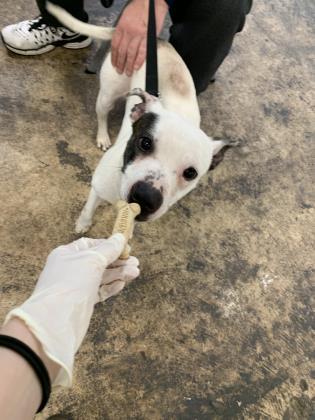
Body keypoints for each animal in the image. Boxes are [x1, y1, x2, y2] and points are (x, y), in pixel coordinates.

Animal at [48, 2, 238, 233]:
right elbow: (89, 208)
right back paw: (103, 137)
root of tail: (152, 39)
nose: (146, 197)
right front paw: (83, 224)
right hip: (107, 95)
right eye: (145, 143)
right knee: (102, 116)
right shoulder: (97, 187)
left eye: (191, 173)